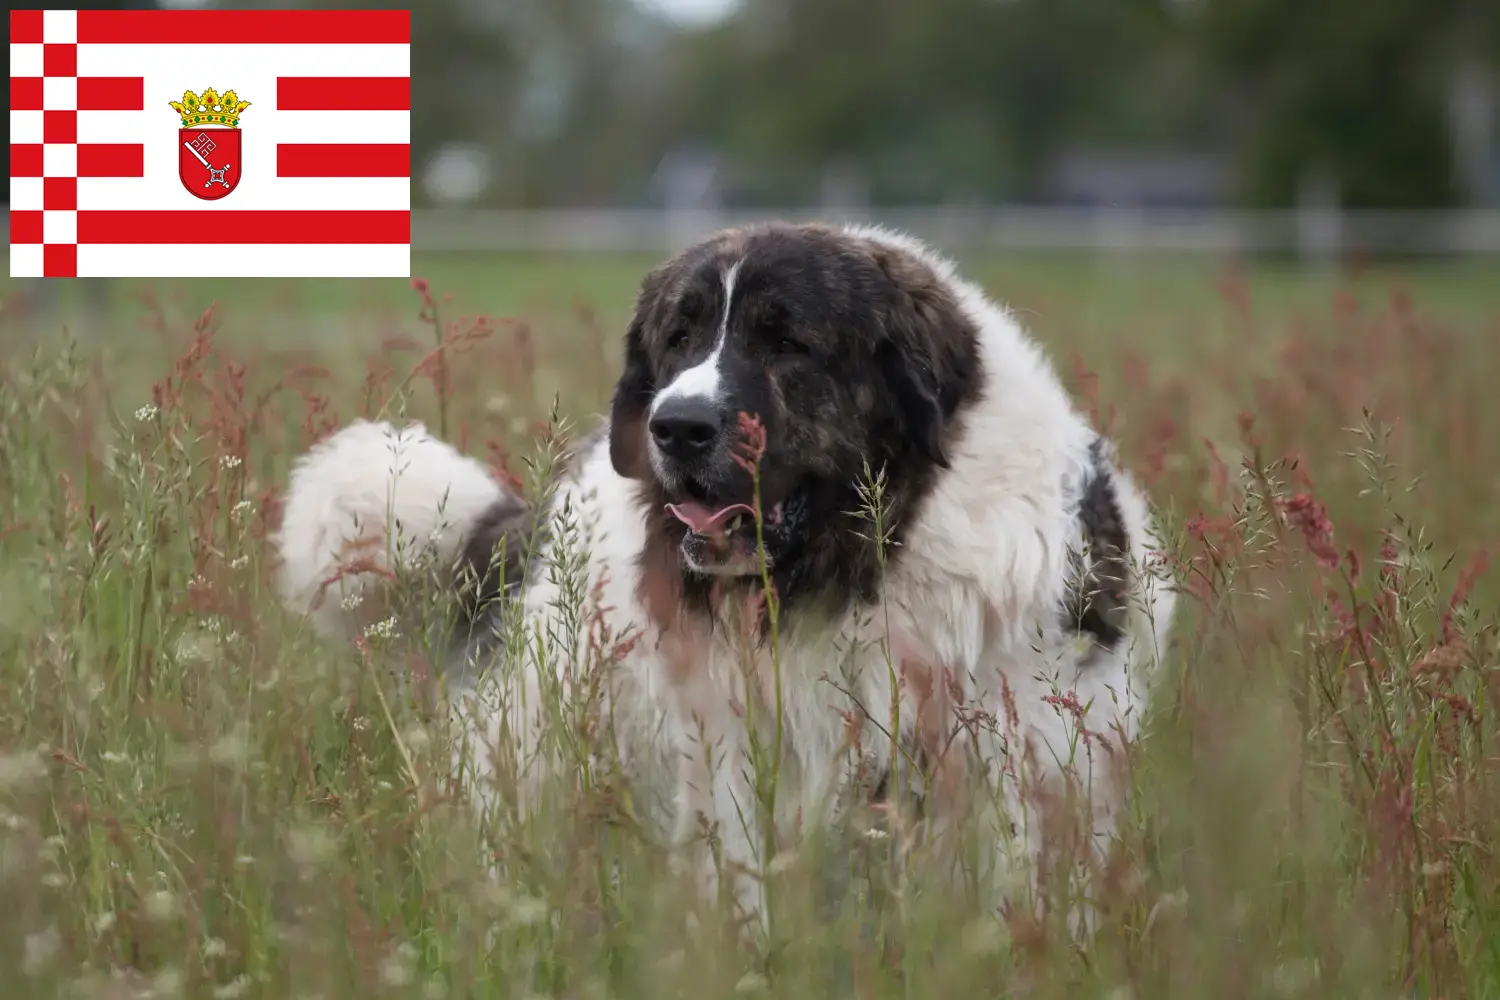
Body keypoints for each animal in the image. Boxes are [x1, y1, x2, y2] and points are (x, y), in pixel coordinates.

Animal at [276, 220, 1176, 941]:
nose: (675, 426)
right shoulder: (736, 760)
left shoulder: (1019, 752)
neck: (856, 569)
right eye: (679, 336)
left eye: (787, 343)